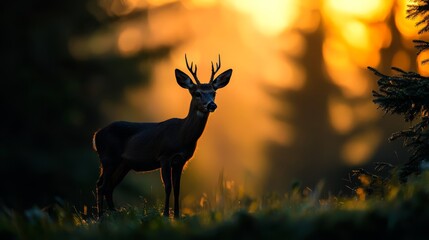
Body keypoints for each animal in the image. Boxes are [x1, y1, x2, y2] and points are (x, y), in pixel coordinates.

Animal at [93, 55, 231, 218]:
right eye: (197, 93)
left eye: (214, 93)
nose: (212, 105)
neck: (181, 135)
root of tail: (96, 135)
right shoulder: (164, 156)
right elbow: (168, 186)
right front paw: (165, 214)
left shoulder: (181, 160)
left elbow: (177, 188)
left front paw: (177, 215)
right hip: (108, 158)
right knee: (101, 185)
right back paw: (101, 217)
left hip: (123, 164)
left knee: (108, 186)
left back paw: (114, 215)